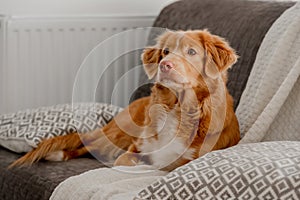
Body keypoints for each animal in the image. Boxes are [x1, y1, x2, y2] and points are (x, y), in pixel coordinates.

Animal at [9, 29, 240, 170]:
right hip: (119, 134)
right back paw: (57, 154)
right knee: (89, 143)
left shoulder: (176, 163)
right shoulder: (136, 147)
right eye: (165, 51)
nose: (164, 65)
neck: (175, 108)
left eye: (191, 52)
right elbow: (125, 161)